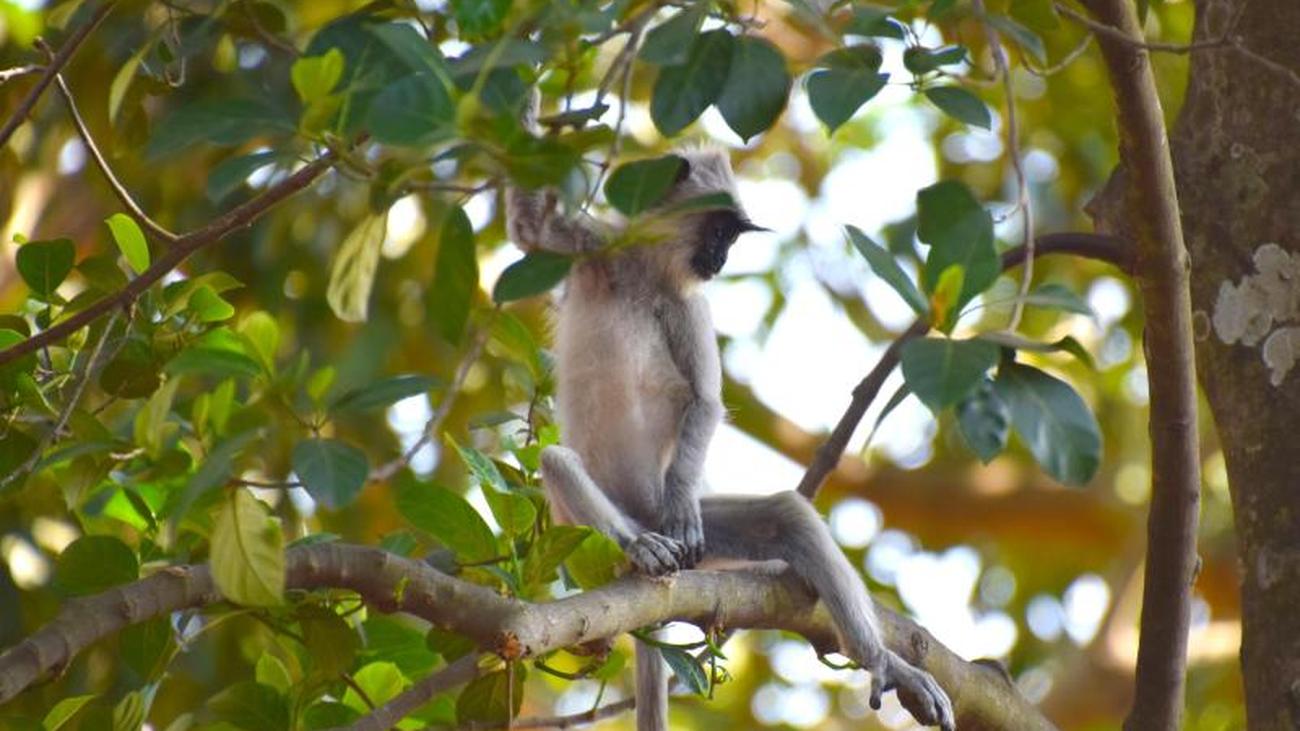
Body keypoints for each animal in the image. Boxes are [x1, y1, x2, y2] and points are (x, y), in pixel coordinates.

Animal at [506, 143, 956, 728]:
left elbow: (706, 402)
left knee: (786, 516)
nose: (720, 261)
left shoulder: (690, 304)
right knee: (557, 461)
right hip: (576, 526)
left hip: (695, 539)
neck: (646, 272)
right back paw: (639, 546)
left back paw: (882, 663)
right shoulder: (597, 249)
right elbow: (528, 226)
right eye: (720, 231)